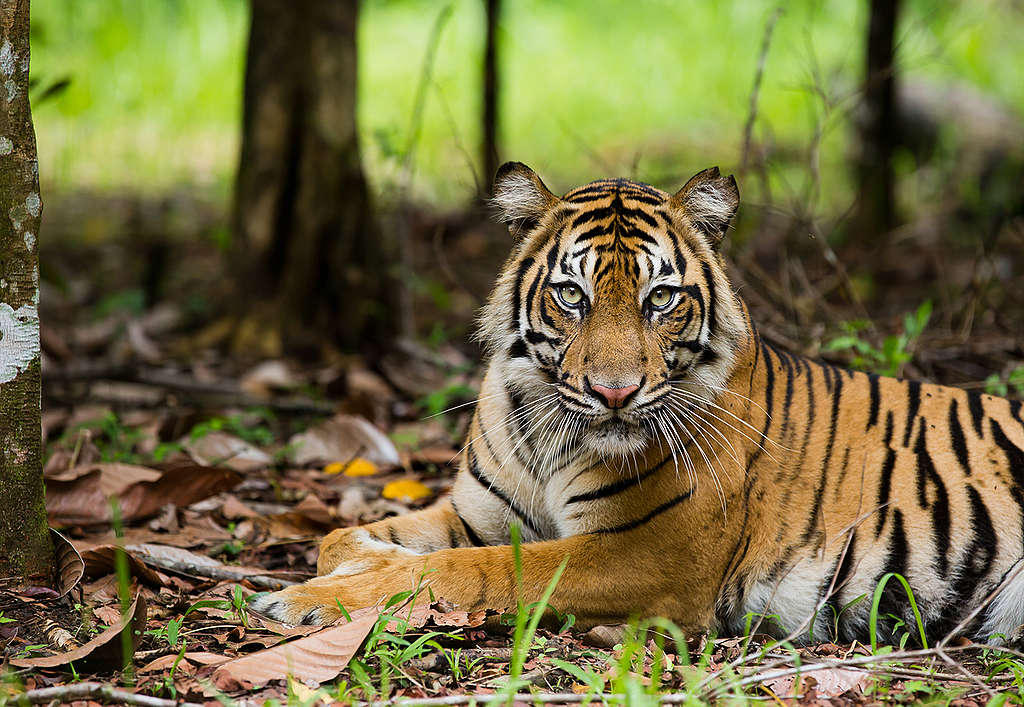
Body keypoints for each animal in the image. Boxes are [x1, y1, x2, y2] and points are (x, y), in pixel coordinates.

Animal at [249, 160, 1024, 643]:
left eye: (661, 298)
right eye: (571, 295)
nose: (614, 392)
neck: (549, 434)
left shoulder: (648, 555)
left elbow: (476, 570)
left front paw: (309, 598)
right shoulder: (480, 514)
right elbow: (341, 535)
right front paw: (358, 556)